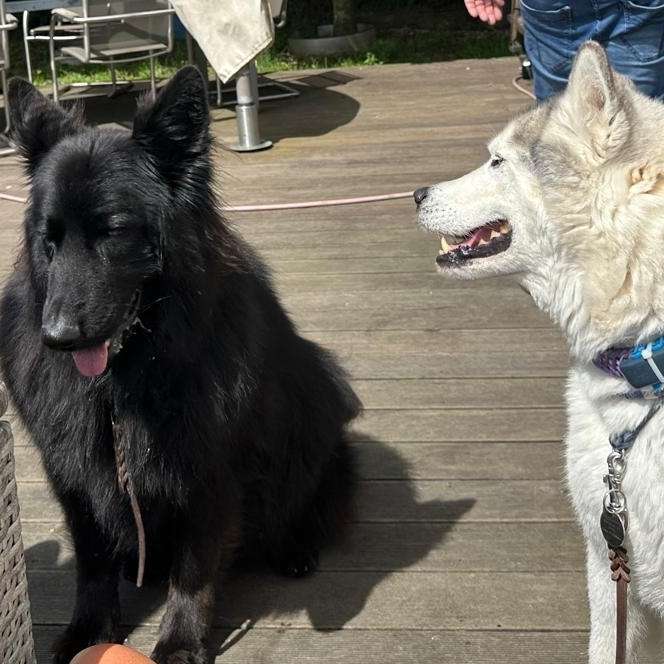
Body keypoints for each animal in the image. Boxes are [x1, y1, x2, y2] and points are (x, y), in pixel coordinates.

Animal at [1, 68, 358, 664]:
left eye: (112, 232)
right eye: (50, 239)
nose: (57, 338)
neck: (122, 387)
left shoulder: (210, 470)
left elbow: (194, 569)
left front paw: (180, 641)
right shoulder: (74, 474)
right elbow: (92, 562)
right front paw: (89, 628)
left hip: (319, 402)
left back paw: (295, 546)